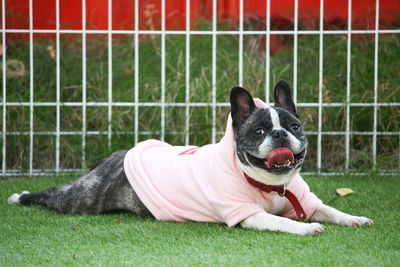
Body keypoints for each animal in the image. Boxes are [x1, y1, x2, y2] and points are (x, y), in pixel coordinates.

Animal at [8, 80, 372, 236]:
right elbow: (280, 221)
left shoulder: (306, 200)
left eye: (294, 126)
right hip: (81, 199)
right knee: (52, 195)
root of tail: (116, 157)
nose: (281, 135)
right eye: (259, 131)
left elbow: (332, 210)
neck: (271, 185)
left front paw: (354, 218)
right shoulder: (247, 215)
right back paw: (19, 196)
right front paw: (306, 228)